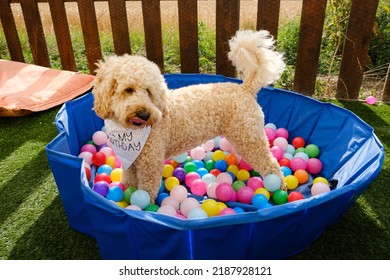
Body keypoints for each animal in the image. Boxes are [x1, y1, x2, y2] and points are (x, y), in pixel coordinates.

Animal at [92, 29, 286, 202]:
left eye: (149, 91)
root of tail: (245, 88)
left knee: (271, 164)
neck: (131, 132)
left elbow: (146, 191)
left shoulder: (150, 165)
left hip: (250, 138)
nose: (145, 114)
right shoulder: (130, 163)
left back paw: (279, 187)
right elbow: (128, 181)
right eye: (128, 89)